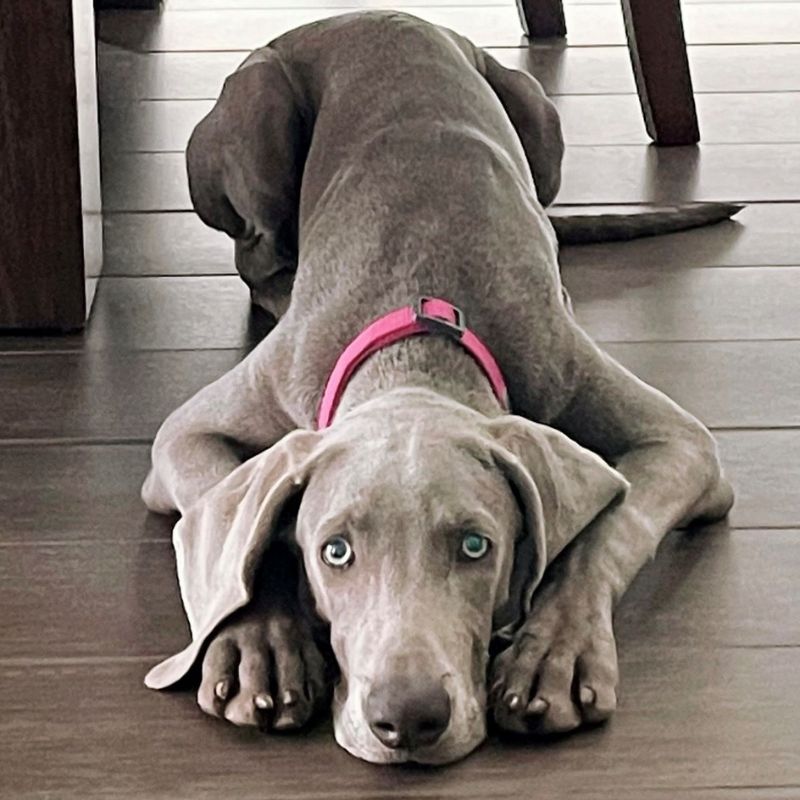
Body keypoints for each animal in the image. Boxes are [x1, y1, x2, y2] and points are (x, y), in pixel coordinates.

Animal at [141, 10, 736, 764]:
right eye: (335, 551)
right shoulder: (187, 432)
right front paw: (261, 648)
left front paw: (553, 654)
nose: (408, 718)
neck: (419, 337)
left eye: (476, 546)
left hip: (537, 114)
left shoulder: (676, 439)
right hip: (257, 109)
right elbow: (239, 531)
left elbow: (611, 530)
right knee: (258, 255)